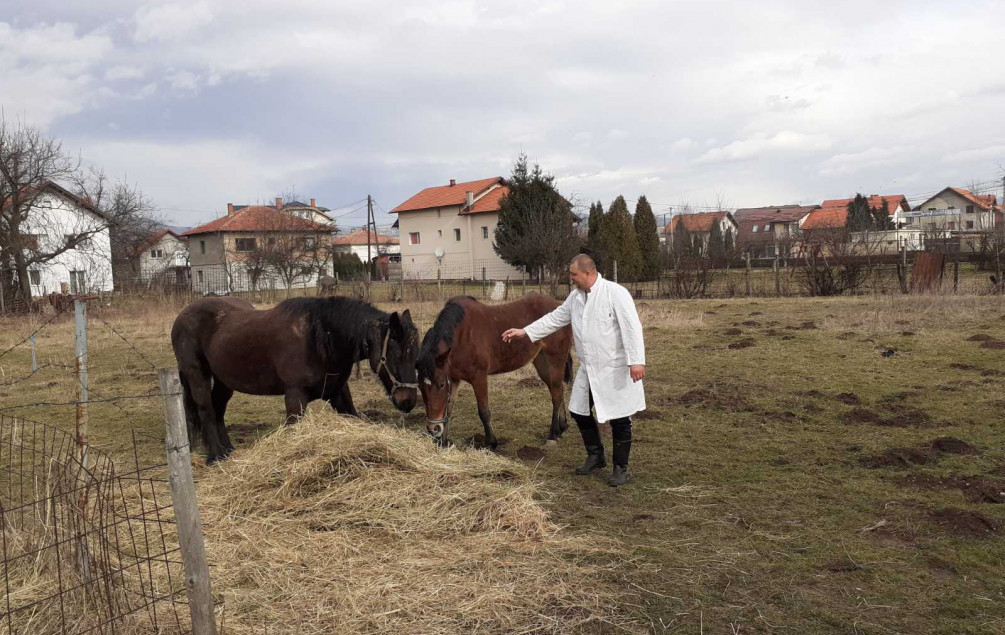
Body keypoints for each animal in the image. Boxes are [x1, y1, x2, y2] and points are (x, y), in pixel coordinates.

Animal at [172, 295, 420, 464]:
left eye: (414, 355)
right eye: (396, 354)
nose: (407, 401)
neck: (321, 338)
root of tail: (182, 316)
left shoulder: (338, 393)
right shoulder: (295, 397)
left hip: (224, 381)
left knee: (218, 409)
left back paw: (228, 449)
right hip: (197, 374)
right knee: (206, 409)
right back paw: (216, 456)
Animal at [416, 295, 574, 448]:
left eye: (441, 384)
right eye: (420, 387)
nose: (433, 429)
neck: (461, 335)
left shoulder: (479, 378)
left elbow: (484, 411)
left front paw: (491, 442)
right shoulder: (454, 378)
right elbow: (449, 409)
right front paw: (442, 441)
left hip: (555, 360)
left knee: (556, 395)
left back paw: (553, 435)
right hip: (542, 362)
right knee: (558, 390)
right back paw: (561, 427)